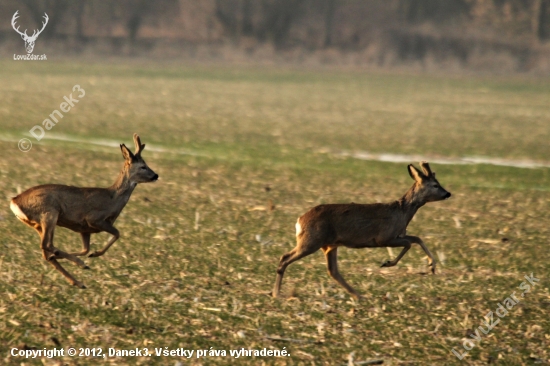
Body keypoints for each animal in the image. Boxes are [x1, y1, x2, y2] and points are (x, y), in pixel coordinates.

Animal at [9, 134, 158, 288]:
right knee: (46, 244)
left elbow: (85, 249)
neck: (112, 199)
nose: (156, 175)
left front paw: (82, 255)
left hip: (38, 224)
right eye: (143, 166)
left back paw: (77, 281)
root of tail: (15, 201)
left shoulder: (84, 229)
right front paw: (94, 254)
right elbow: (117, 233)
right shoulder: (94, 219)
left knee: (46, 252)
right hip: (49, 213)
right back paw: (80, 264)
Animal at [274, 162, 452, 298]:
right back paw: (276, 294)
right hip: (311, 240)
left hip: (329, 245)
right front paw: (388, 263)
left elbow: (417, 238)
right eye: (435, 185)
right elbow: (409, 243)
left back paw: (358, 296)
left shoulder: (398, 234)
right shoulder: (384, 237)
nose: (448, 193)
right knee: (285, 257)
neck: (402, 212)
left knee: (333, 270)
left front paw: (432, 266)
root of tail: (299, 220)